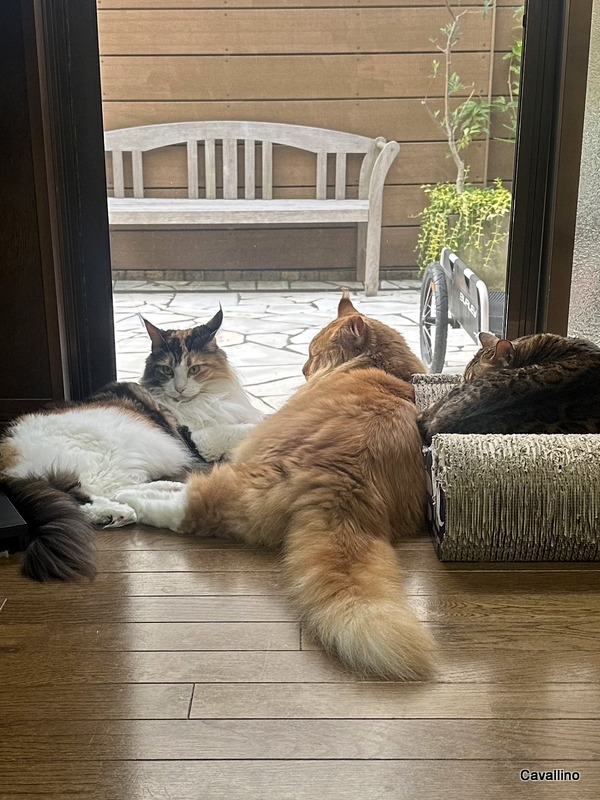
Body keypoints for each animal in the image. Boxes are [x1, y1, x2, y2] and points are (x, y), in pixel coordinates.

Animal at [115, 292, 434, 680]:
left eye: (312, 353)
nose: (303, 369)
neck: (386, 369)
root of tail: (343, 482)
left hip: (246, 474)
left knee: (189, 504)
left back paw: (128, 498)